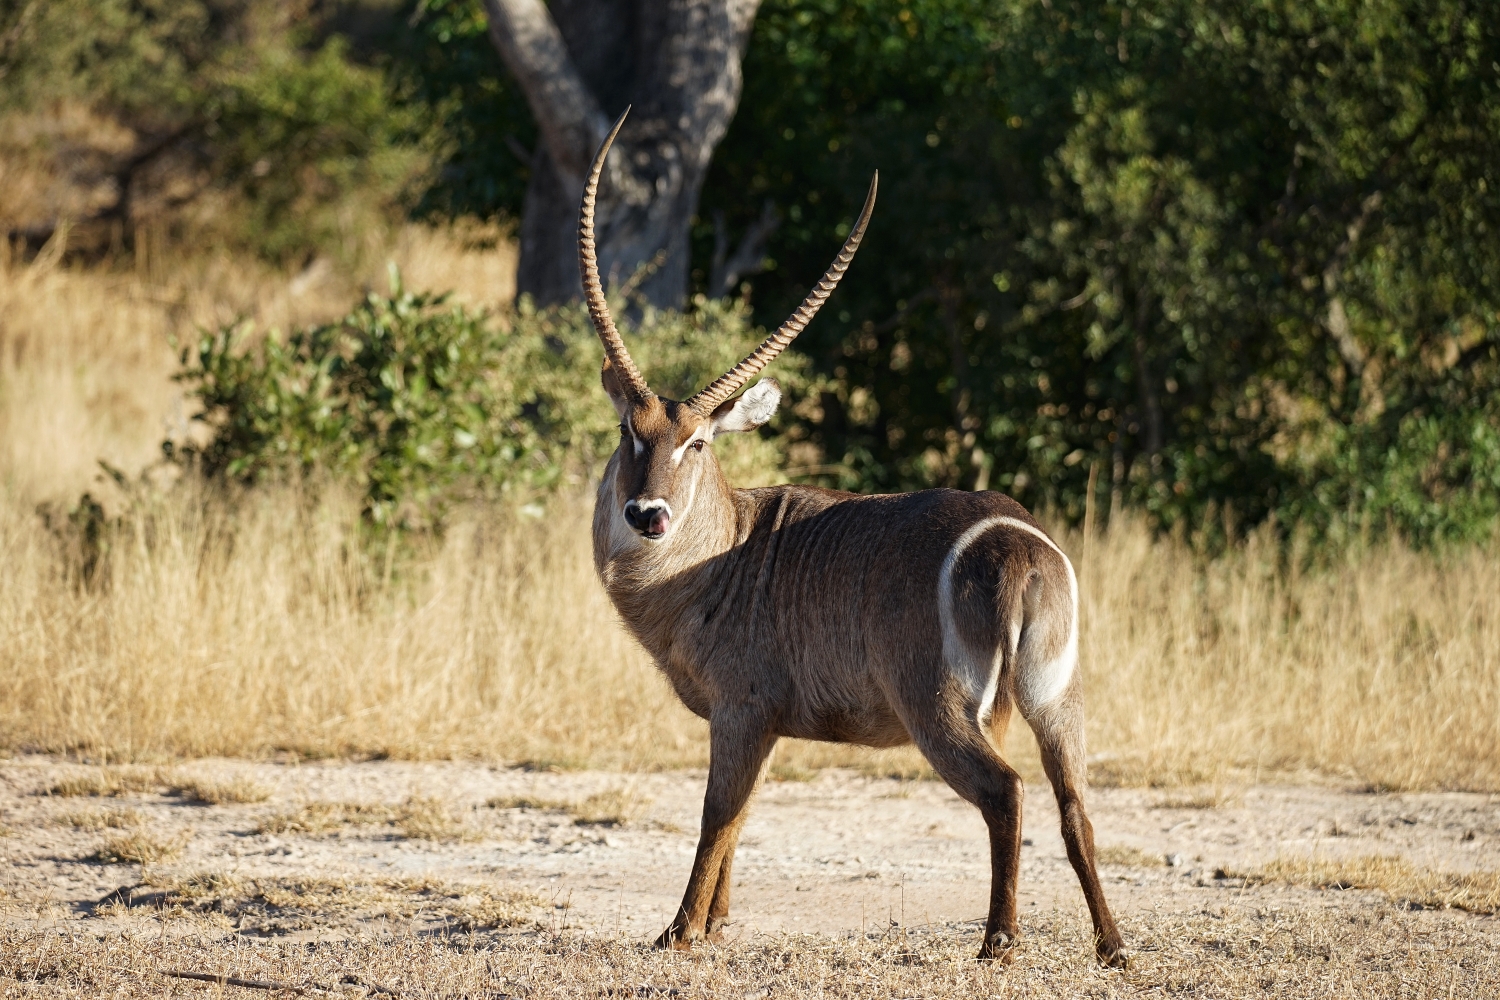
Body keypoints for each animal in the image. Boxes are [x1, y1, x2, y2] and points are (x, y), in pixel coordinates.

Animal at [582, 111, 1128, 971]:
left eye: (696, 441)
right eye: (627, 432)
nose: (647, 515)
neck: (721, 551)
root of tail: (1014, 544)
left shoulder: (740, 709)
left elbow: (715, 816)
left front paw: (679, 931)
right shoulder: (762, 723)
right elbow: (740, 818)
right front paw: (719, 924)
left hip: (939, 709)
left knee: (1005, 793)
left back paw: (998, 942)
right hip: (1055, 697)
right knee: (1076, 804)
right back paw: (1112, 948)